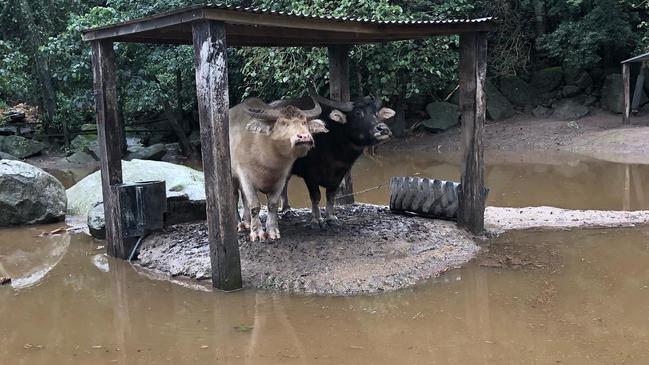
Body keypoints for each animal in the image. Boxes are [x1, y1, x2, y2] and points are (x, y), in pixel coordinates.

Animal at [229, 96, 330, 240]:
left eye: (304, 122)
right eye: (282, 123)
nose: (304, 137)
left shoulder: (281, 178)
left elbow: (272, 205)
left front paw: (272, 230)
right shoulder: (245, 175)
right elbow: (254, 205)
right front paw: (257, 232)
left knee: (243, 198)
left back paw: (247, 222)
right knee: (235, 197)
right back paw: (239, 223)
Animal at [274, 92, 394, 226]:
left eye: (377, 114)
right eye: (358, 113)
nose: (383, 129)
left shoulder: (340, 173)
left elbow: (331, 195)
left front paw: (331, 217)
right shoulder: (310, 174)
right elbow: (316, 196)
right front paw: (317, 219)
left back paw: (287, 209)